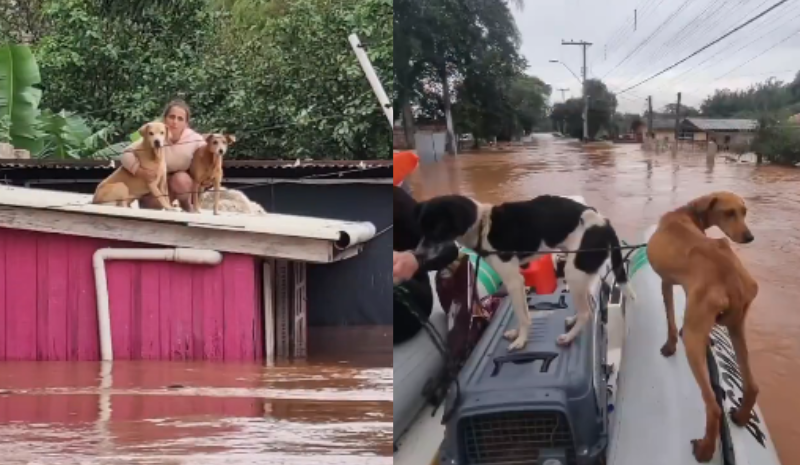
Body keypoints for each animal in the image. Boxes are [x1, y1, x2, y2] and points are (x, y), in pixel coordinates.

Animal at [416, 194, 636, 350]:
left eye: (437, 228)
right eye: (422, 229)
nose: (417, 255)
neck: (483, 226)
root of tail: (605, 223)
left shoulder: (513, 280)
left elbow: (522, 315)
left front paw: (521, 341)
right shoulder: (519, 282)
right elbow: (524, 313)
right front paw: (518, 334)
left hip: (574, 273)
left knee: (586, 313)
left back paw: (569, 337)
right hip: (582, 272)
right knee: (588, 306)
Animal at [648, 190, 756, 462]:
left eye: (744, 212)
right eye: (731, 212)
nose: (749, 237)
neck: (687, 212)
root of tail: (732, 279)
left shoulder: (666, 282)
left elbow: (670, 319)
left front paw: (669, 345)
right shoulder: (688, 291)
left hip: (694, 340)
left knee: (713, 406)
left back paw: (705, 449)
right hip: (737, 326)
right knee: (752, 386)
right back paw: (741, 417)